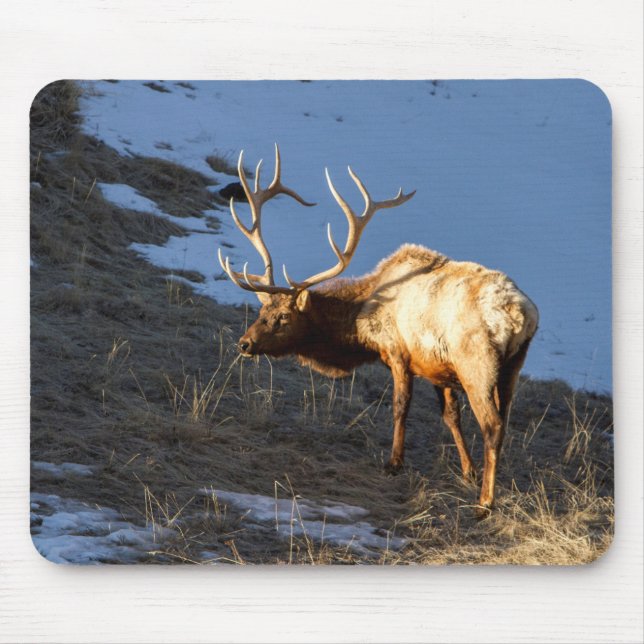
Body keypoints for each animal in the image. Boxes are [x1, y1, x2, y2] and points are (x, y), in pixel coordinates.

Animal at [217, 144, 539, 514]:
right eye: (262, 310)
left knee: (492, 425)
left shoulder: (399, 352)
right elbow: (450, 416)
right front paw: (468, 471)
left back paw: (486, 502)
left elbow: (400, 406)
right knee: (504, 421)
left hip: (477, 363)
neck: (361, 325)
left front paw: (394, 463)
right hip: (512, 366)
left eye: (283, 316)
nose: (245, 343)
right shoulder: (438, 367)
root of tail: (520, 314)